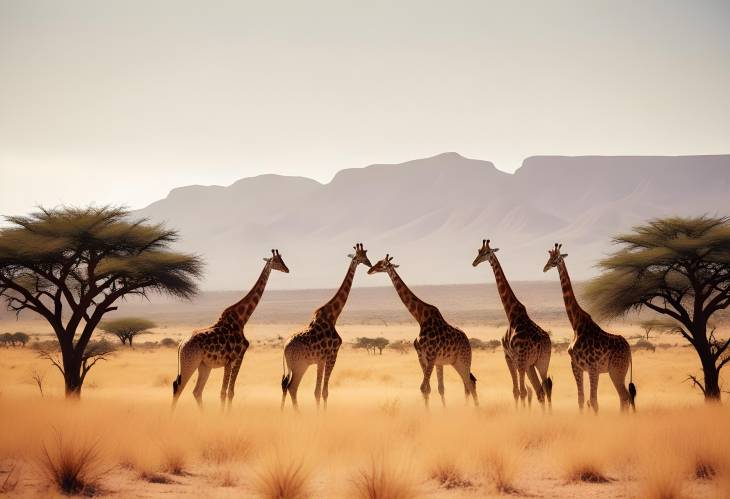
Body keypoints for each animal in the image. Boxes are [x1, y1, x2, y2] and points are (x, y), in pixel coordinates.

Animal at [171, 250, 288, 410]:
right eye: (277, 261)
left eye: (282, 259)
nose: (287, 269)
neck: (241, 320)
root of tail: (181, 345)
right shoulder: (234, 358)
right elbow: (226, 392)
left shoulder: (230, 361)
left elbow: (228, 392)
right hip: (190, 363)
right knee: (178, 388)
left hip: (204, 366)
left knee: (196, 391)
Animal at [278, 242, 370, 410]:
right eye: (361, 256)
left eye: (367, 255)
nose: (369, 264)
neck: (333, 316)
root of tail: (284, 349)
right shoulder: (332, 355)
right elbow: (323, 392)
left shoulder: (320, 360)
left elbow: (317, 392)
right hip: (300, 366)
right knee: (292, 387)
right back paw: (297, 413)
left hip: (293, 367)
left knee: (285, 385)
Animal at [364, 256, 478, 408]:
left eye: (382, 264)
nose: (370, 270)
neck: (420, 318)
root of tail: (467, 341)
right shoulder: (421, 356)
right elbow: (428, 388)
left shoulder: (431, 356)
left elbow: (424, 387)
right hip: (453, 362)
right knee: (466, 383)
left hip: (464, 359)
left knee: (470, 383)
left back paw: (476, 410)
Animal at [472, 241, 552, 410]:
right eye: (478, 251)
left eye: (486, 252)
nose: (474, 262)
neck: (512, 314)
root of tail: (543, 343)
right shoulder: (520, 361)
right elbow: (521, 391)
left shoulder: (509, 357)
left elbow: (518, 391)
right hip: (540, 362)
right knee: (542, 389)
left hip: (526, 363)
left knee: (534, 390)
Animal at [544, 244, 636, 412]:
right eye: (549, 257)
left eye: (557, 258)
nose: (545, 267)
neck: (575, 324)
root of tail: (629, 350)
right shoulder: (577, 365)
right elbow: (581, 399)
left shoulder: (592, 367)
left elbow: (593, 401)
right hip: (617, 370)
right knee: (624, 397)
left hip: (617, 370)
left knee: (625, 396)